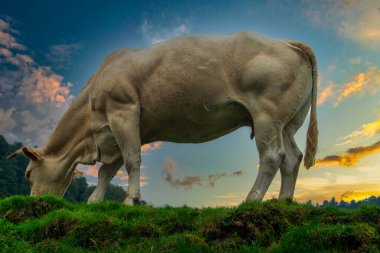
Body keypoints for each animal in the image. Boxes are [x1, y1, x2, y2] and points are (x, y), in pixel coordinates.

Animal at [8, 32, 318, 206]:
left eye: (27, 173)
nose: (36, 203)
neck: (90, 135)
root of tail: (288, 43)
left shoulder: (123, 111)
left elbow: (131, 160)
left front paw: (130, 200)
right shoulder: (116, 131)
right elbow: (108, 171)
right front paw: (95, 201)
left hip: (267, 114)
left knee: (272, 156)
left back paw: (251, 200)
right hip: (287, 122)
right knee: (292, 157)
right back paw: (284, 201)